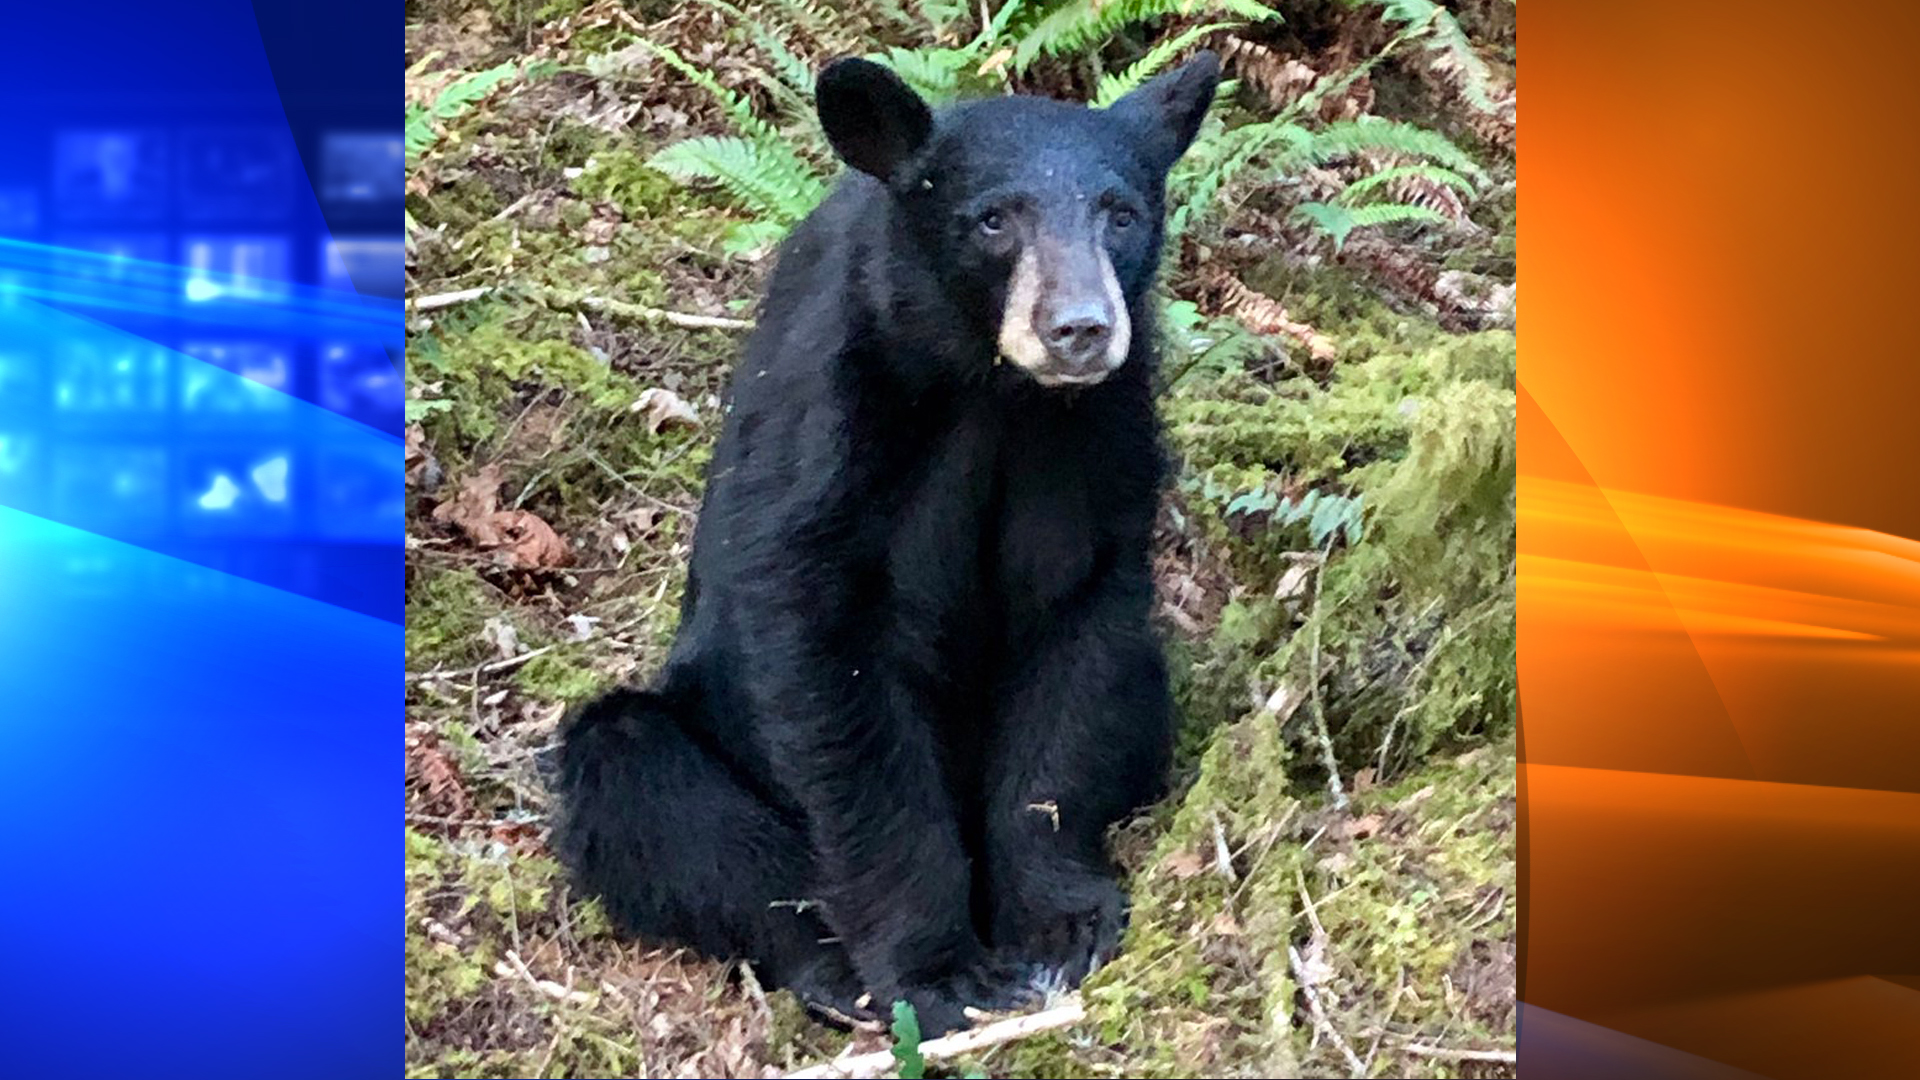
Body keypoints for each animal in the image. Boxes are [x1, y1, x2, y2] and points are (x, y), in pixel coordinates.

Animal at [552, 50, 1213, 1037]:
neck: (989, 390)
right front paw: (937, 970)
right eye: (993, 218)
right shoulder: (834, 421)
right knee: (638, 780)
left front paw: (1057, 923)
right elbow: (833, 672)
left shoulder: (1100, 437)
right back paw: (830, 966)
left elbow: (1078, 633)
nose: (1081, 329)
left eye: (1121, 213)